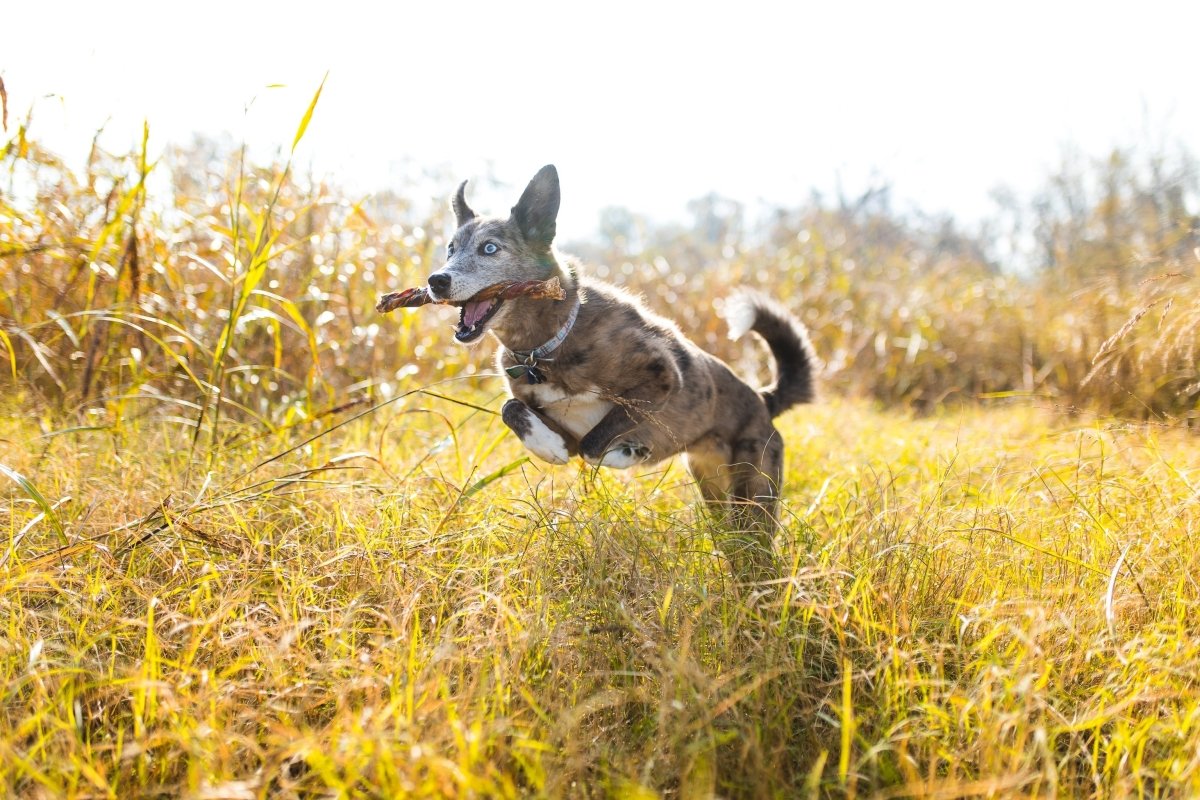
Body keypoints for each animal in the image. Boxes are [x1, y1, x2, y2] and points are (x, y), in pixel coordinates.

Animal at [424, 163, 816, 561]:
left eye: (490, 248)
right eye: (450, 248)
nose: (435, 280)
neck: (548, 345)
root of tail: (763, 399)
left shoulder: (662, 377)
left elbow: (594, 444)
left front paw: (627, 454)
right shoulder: (552, 417)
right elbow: (512, 409)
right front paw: (547, 447)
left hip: (754, 497)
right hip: (716, 492)